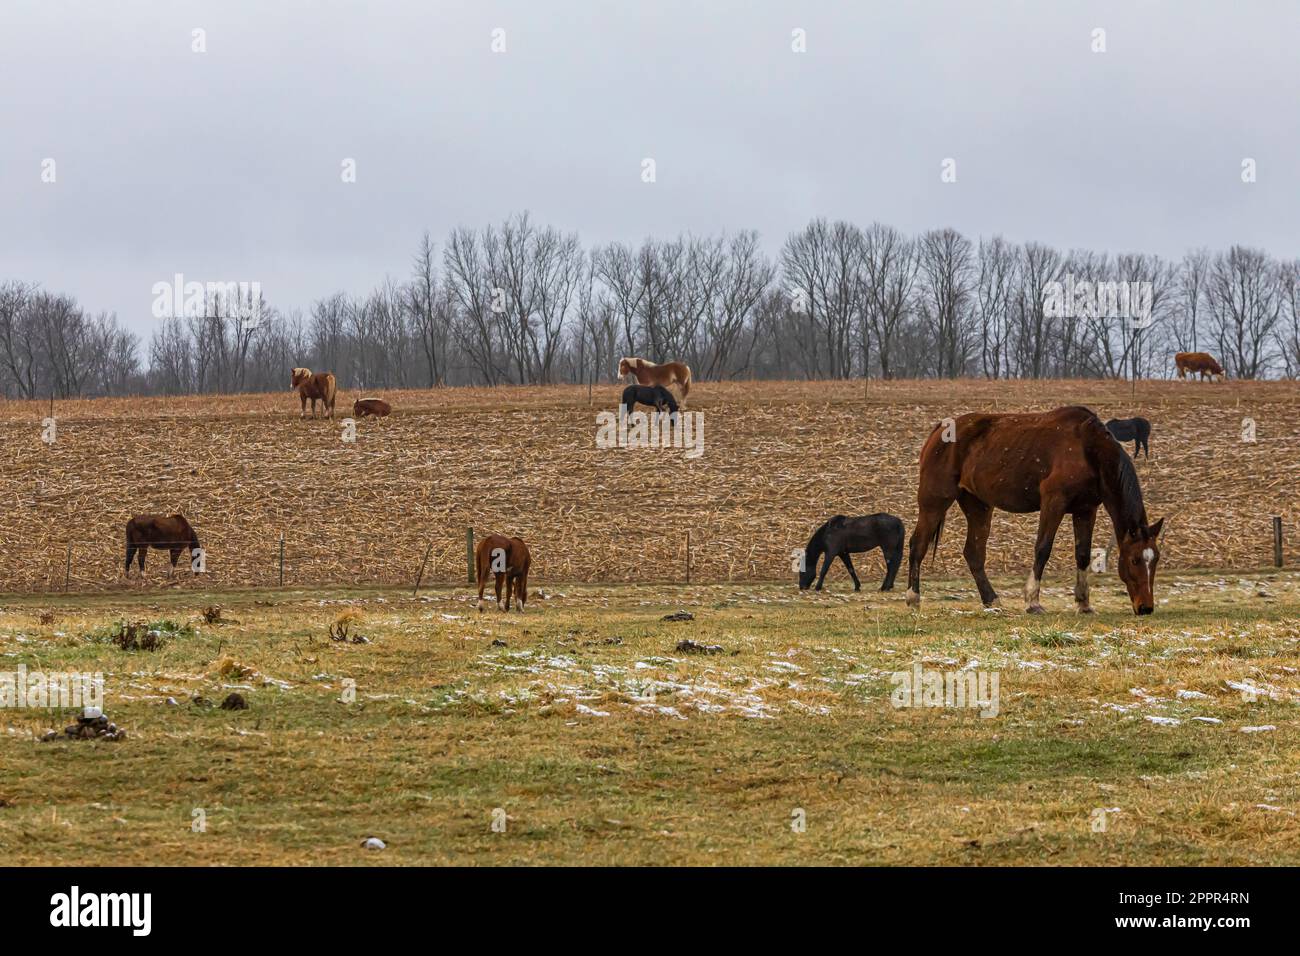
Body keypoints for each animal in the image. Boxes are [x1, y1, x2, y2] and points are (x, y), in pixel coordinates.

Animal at [905, 406, 1164, 616]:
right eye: (1134, 560)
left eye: (1156, 560)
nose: (1146, 608)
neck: (1087, 449)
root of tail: (939, 431)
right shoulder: (1053, 502)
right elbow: (1042, 549)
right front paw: (1032, 601)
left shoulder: (1086, 509)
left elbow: (1082, 554)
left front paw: (1083, 603)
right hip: (934, 502)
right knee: (918, 544)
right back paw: (913, 598)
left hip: (978, 506)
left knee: (974, 553)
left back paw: (991, 600)